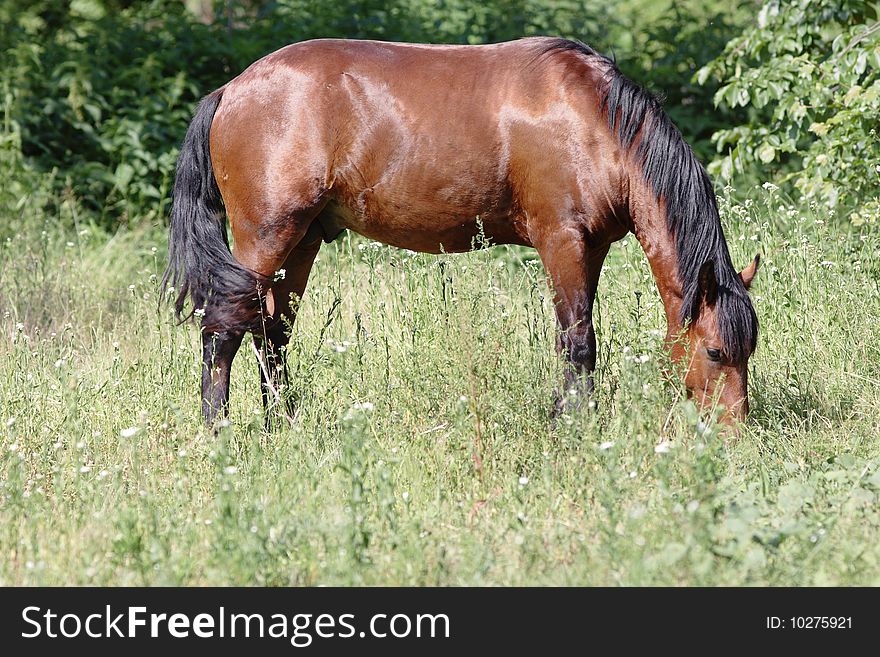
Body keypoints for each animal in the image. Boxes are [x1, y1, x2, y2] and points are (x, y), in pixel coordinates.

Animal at [162, 37, 760, 426]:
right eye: (714, 353)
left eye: (748, 351)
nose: (730, 435)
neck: (592, 122)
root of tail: (231, 89)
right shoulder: (561, 242)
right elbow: (578, 343)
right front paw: (575, 426)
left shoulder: (590, 251)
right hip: (265, 237)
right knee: (223, 330)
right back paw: (218, 433)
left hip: (301, 242)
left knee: (271, 333)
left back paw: (282, 426)